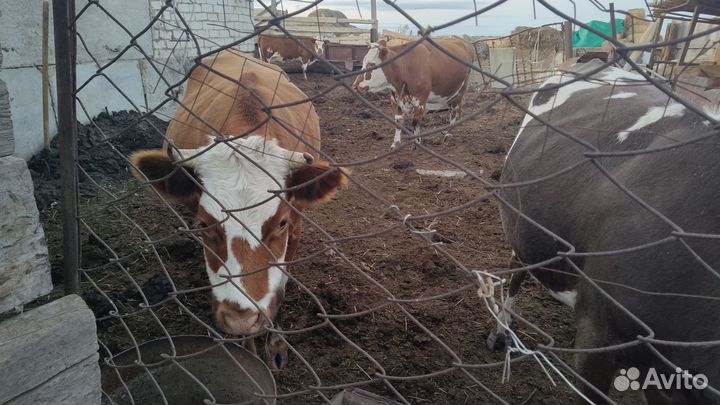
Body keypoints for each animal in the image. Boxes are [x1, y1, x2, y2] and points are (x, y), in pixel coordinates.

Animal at [130, 50, 346, 369]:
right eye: (204, 224)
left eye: (281, 224)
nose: (239, 319)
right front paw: (251, 354)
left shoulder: (296, 226)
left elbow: (280, 283)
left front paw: (275, 343)